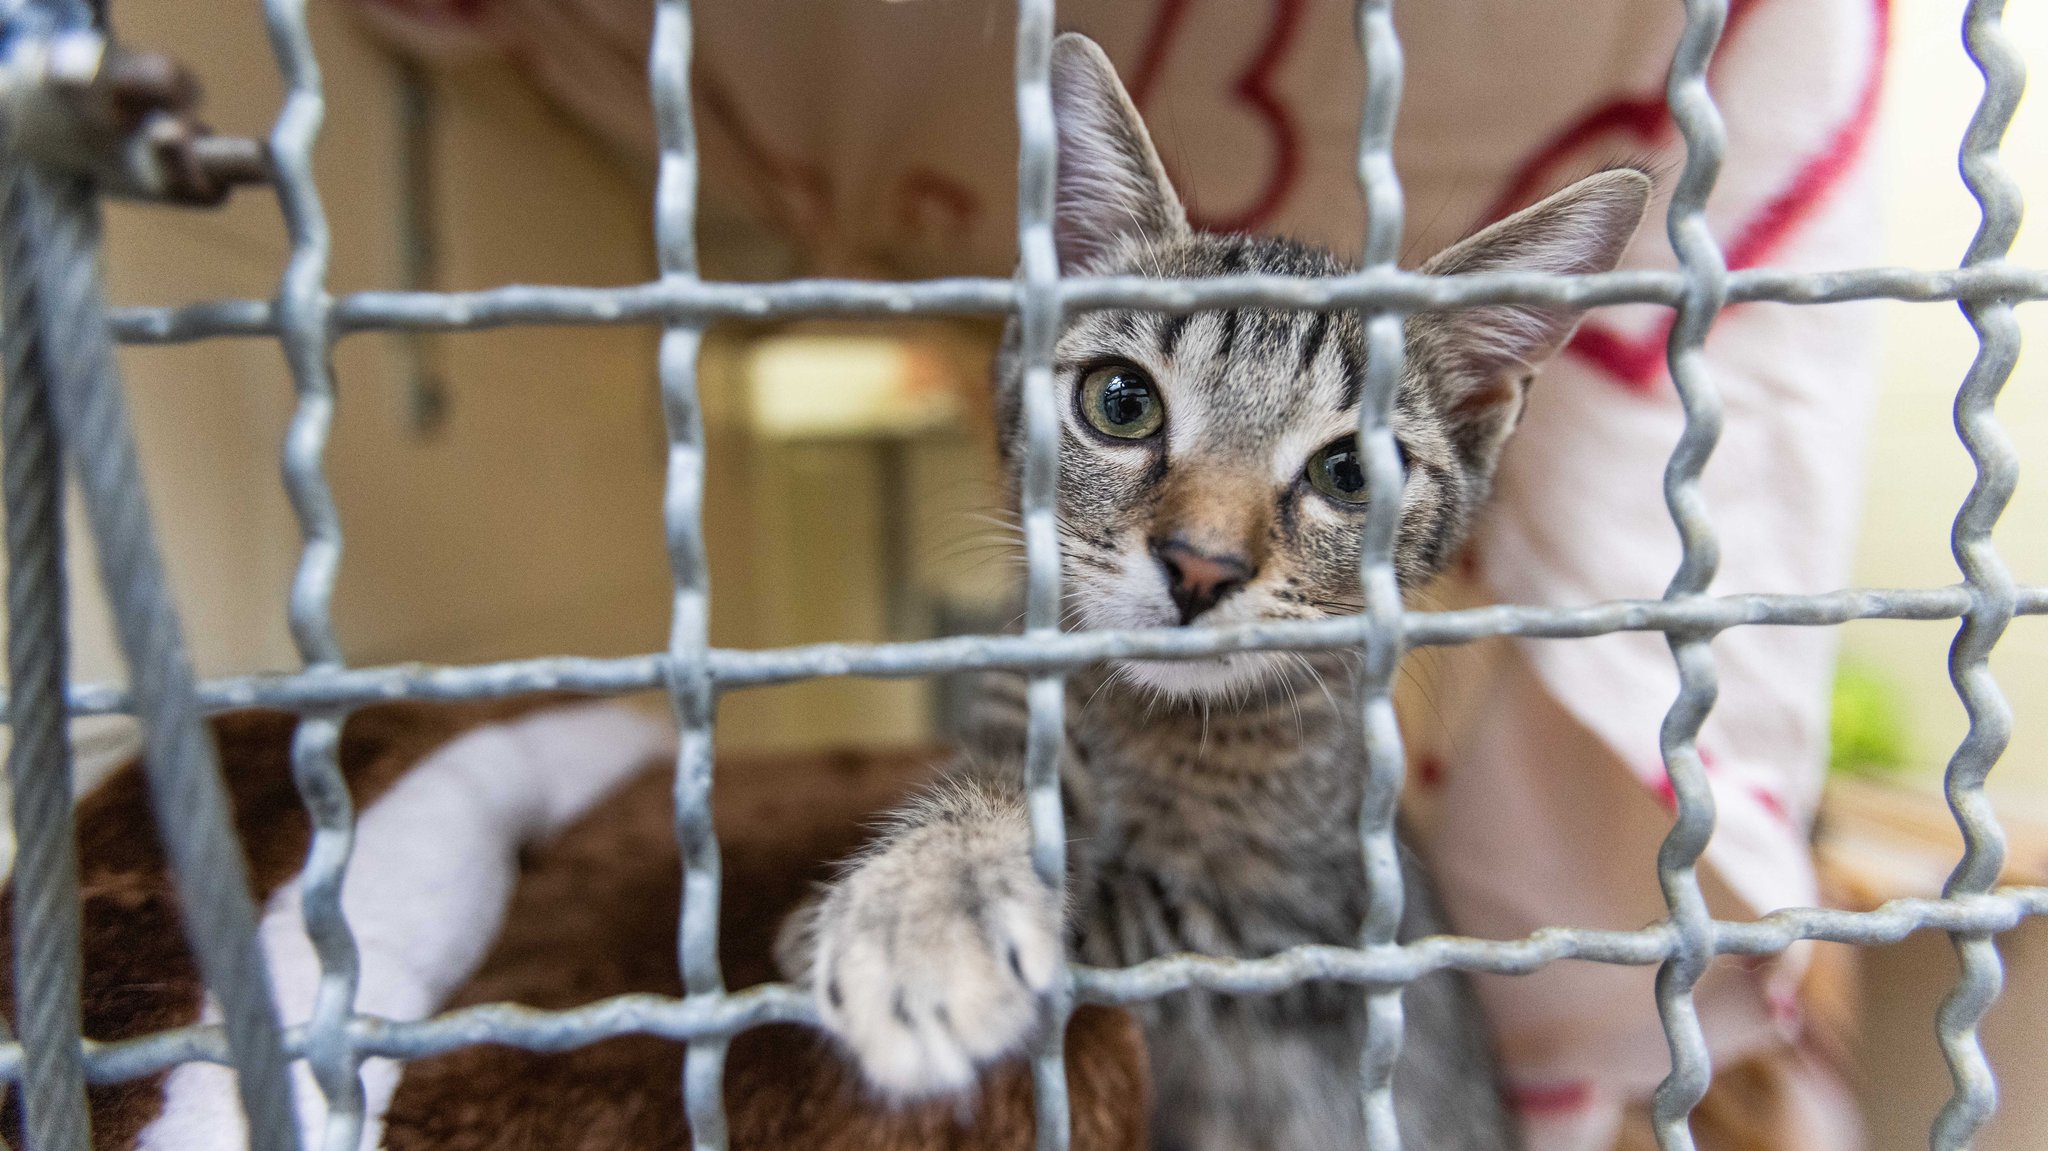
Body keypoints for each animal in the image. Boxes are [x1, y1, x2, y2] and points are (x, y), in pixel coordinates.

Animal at [774, 31, 1654, 1138]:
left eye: (1349, 473)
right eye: (1120, 402)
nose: (1201, 563)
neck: (1148, 722)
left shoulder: (1298, 927)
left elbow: (1116, 904)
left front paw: (916, 928)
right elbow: (991, 789)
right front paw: (932, 878)